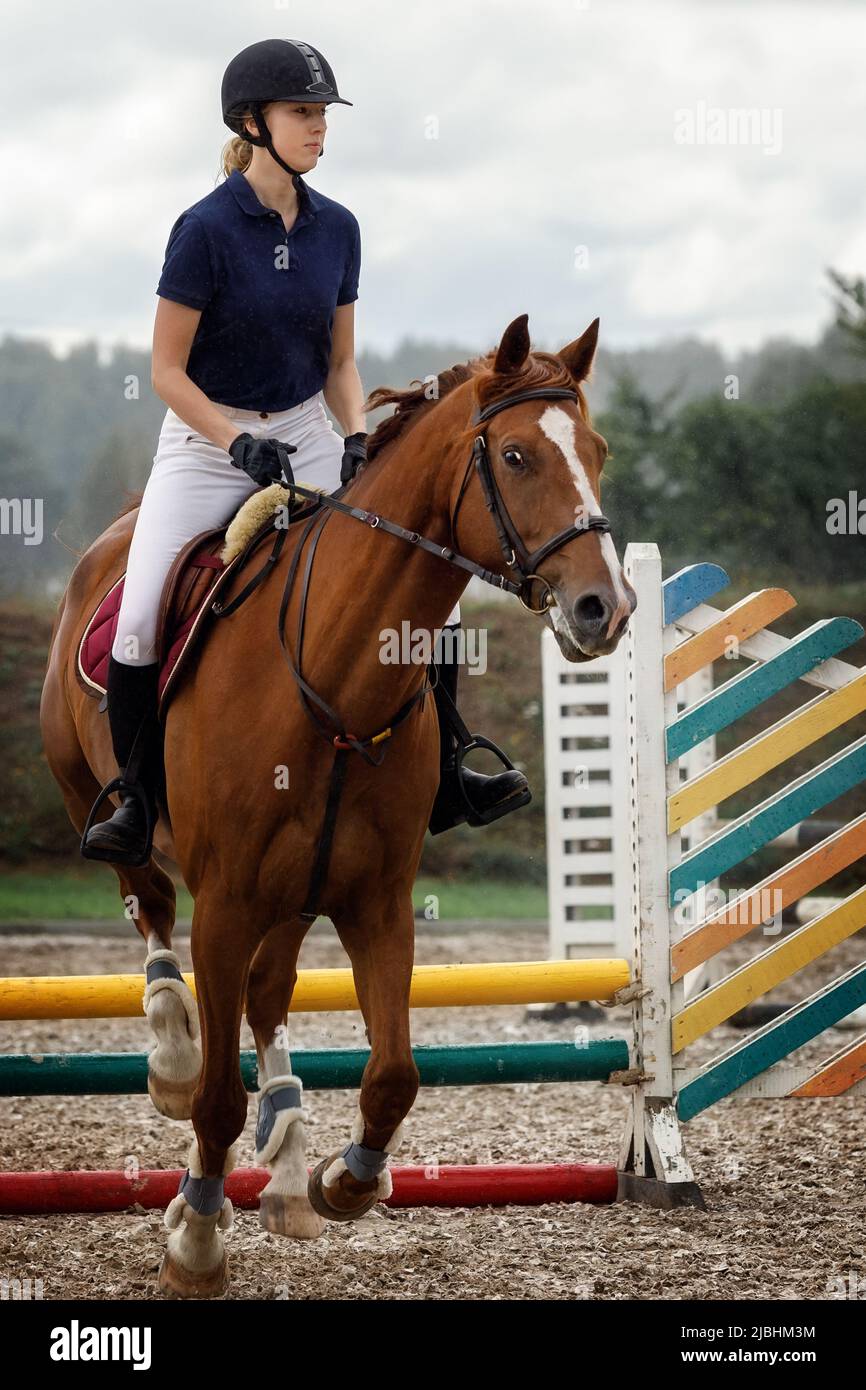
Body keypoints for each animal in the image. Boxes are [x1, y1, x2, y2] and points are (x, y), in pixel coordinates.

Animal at [40, 312, 636, 1289]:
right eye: (515, 456)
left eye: (597, 451)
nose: (605, 609)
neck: (335, 673)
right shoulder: (226, 904)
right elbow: (214, 1099)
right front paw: (196, 1241)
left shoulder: (375, 901)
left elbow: (393, 1074)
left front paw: (343, 1180)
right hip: (99, 802)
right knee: (150, 908)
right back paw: (173, 1050)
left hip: (297, 889)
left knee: (269, 993)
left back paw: (285, 1156)